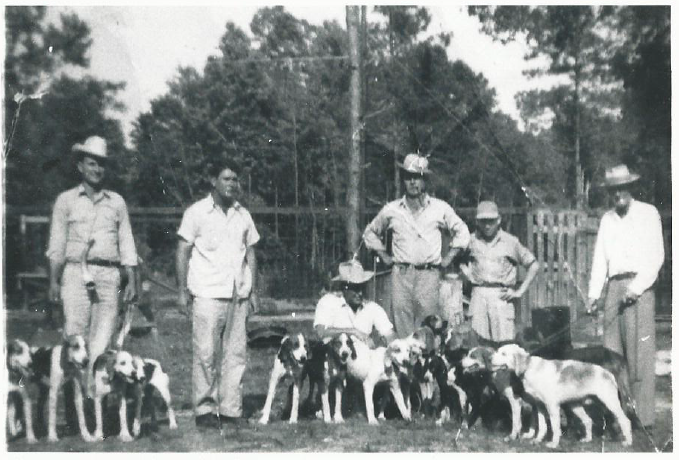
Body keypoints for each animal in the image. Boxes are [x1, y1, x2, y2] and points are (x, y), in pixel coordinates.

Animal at [491, 344, 633, 449]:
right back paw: (587, 439)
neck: (530, 368)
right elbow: (542, 426)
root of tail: (608, 373)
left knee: (625, 420)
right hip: (575, 405)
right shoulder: (539, 406)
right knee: (588, 420)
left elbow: (554, 427)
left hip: (610, 403)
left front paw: (553, 444)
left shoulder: (552, 406)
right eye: (497, 351)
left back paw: (628, 442)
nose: (489, 358)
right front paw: (537, 440)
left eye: (504, 353)